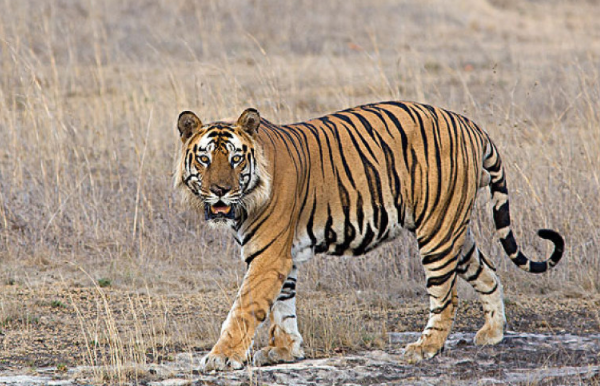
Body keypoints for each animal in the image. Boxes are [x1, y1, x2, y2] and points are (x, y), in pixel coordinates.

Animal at [173, 101, 564, 372]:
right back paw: (493, 333)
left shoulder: (269, 256)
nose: (220, 191)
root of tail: (471, 125)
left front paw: (222, 357)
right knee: (489, 273)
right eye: (204, 159)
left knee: (446, 295)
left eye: (236, 159)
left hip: (437, 232)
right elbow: (283, 306)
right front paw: (285, 350)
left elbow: (244, 308)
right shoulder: (284, 255)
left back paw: (425, 348)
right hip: (455, 230)